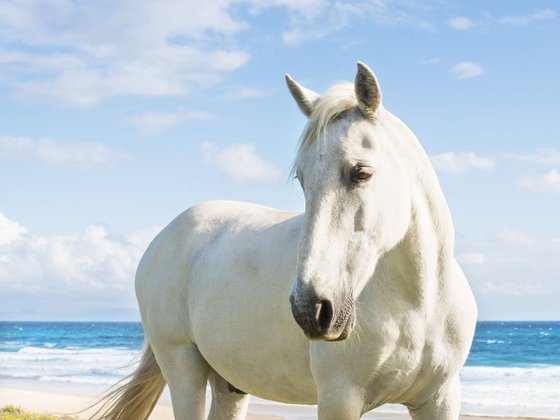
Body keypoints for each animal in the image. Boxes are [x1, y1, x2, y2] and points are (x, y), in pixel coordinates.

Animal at [95, 62, 476, 420]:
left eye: (361, 172)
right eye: (302, 179)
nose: (312, 309)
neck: (418, 305)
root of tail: (163, 238)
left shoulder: (440, 400)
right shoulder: (340, 399)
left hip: (229, 384)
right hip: (183, 368)